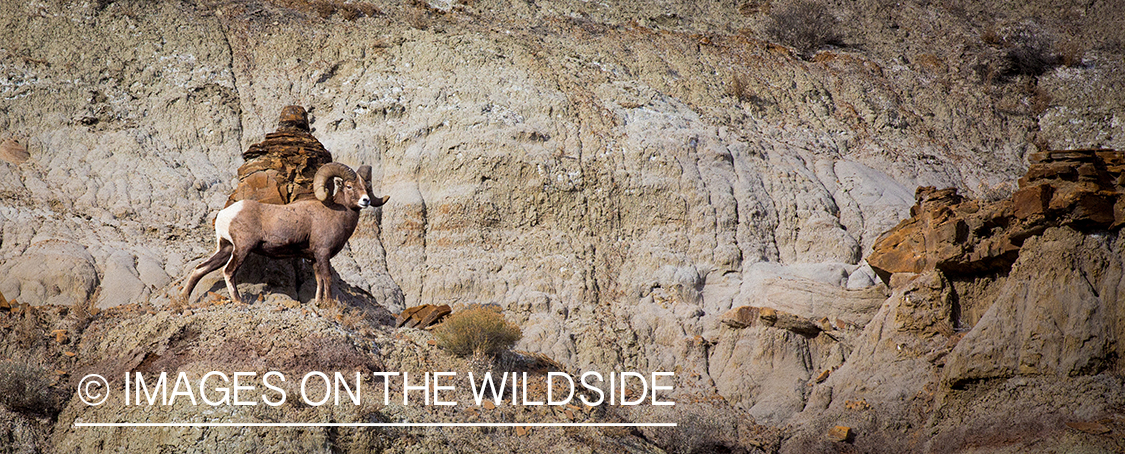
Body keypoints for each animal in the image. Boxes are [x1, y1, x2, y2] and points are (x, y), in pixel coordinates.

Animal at [181, 162, 389, 306]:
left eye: (367, 187)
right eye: (349, 186)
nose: (365, 200)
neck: (334, 213)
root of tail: (225, 215)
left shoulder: (314, 258)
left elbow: (319, 280)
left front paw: (318, 303)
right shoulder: (323, 253)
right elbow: (327, 278)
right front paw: (330, 304)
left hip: (225, 249)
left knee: (200, 269)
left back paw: (184, 299)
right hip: (242, 249)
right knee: (228, 271)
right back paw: (239, 301)